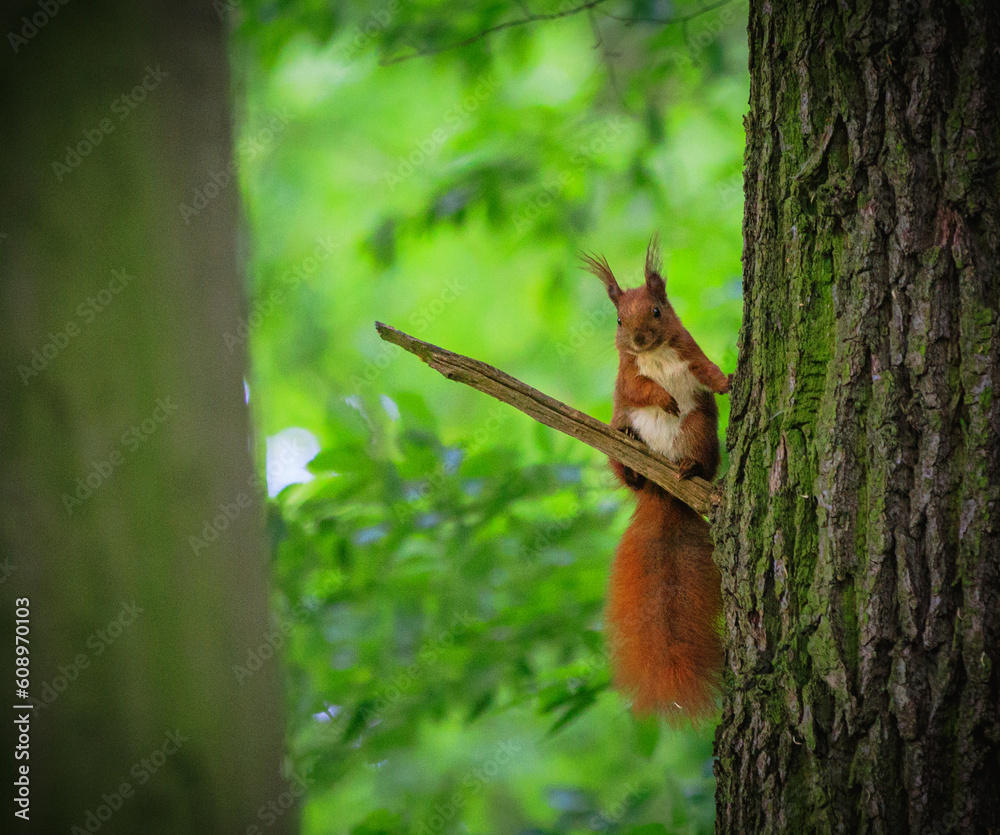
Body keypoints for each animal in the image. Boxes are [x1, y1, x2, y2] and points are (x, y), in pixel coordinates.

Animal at [584, 238, 732, 720]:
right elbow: (641, 390)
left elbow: (706, 370)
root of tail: (662, 489)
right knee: (626, 462)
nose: (638, 339)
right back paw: (633, 458)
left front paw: (726, 381)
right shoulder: (628, 378)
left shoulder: (691, 352)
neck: (656, 355)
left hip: (699, 430)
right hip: (617, 435)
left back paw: (689, 469)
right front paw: (664, 398)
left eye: (656, 310)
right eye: (618, 320)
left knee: (698, 456)